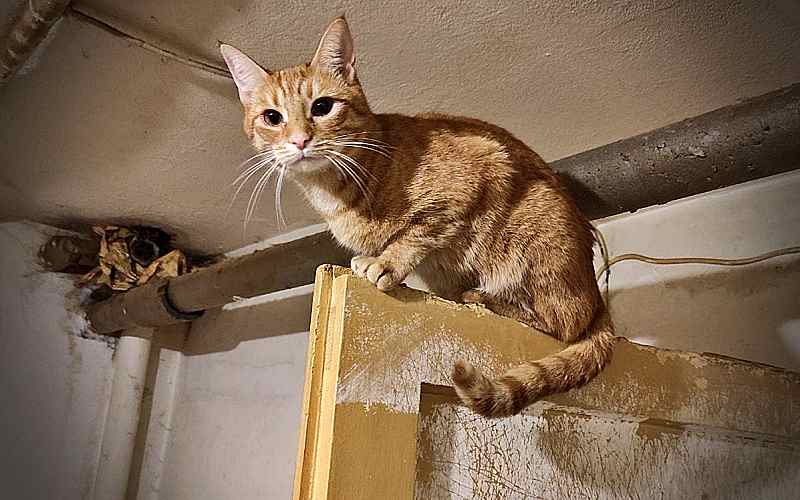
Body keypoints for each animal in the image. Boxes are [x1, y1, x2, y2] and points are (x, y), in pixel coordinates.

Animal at [220, 17, 616, 418]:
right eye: (272, 117)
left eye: (322, 106)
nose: (300, 140)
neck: (339, 189)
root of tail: (598, 296)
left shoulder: (473, 179)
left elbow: (415, 234)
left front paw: (386, 263)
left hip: (534, 240)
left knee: (563, 324)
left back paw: (483, 298)